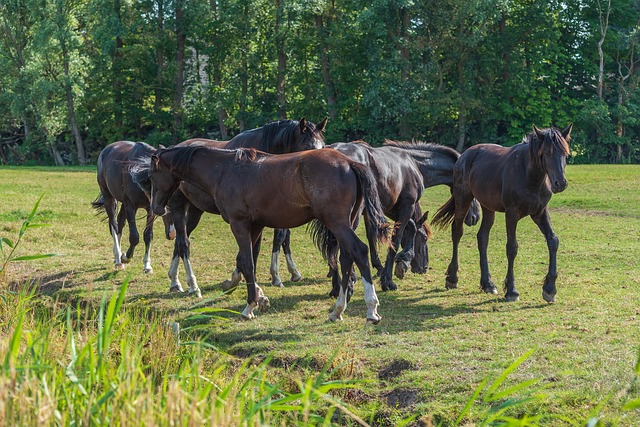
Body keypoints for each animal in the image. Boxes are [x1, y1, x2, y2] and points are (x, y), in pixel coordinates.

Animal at [92, 141, 164, 274]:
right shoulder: (130, 206)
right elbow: (134, 237)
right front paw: (125, 257)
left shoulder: (150, 210)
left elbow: (148, 235)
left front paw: (147, 265)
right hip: (109, 198)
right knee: (114, 225)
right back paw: (118, 260)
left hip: (123, 204)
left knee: (120, 223)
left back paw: (117, 256)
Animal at [148, 145, 392, 322]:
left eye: (153, 173)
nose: (156, 208)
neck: (225, 170)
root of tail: (350, 163)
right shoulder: (255, 226)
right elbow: (246, 261)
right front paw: (255, 295)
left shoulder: (239, 224)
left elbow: (247, 262)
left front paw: (249, 306)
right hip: (344, 223)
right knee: (346, 258)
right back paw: (338, 310)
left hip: (337, 223)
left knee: (359, 251)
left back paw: (371, 309)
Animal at [322, 142, 482, 296]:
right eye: (424, 238)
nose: (475, 217)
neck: (413, 164)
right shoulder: (406, 206)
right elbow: (396, 240)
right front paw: (388, 280)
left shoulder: (391, 209)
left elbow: (410, 227)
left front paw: (403, 260)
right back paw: (346, 285)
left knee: (333, 248)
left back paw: (337, 286)